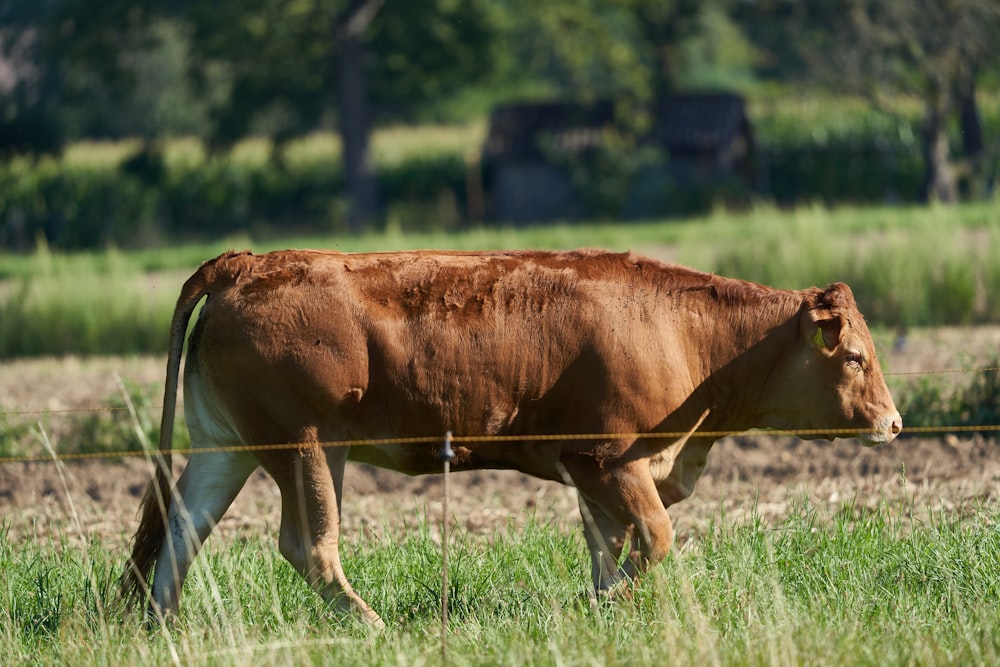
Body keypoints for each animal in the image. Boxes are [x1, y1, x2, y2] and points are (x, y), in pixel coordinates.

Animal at [121, 249, 904, 628]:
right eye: (854, 357)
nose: (894, 422)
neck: (688, 337)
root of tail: (249, 262)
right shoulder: (609, 458)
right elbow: (653, 539)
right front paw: (598, 606)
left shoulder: (593, 470)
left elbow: (608, 546)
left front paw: (603, 609)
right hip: (308, 445)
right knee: (307, 545)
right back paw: (371, 623)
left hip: (226, 447)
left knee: (182, 528)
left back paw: (166, 624)